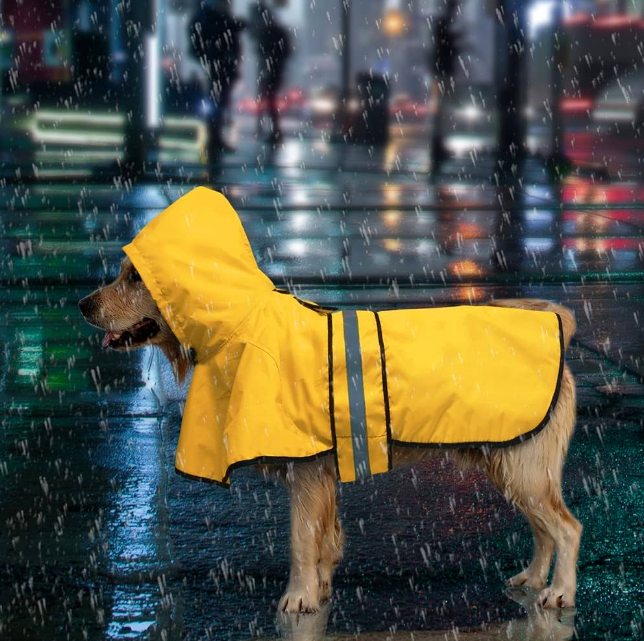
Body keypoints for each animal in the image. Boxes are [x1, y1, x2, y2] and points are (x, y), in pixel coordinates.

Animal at [79, 258, 580, 612]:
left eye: (134, 277)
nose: (83, 305)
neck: (245, 323)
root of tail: (557, 318)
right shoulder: (321, 476)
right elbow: (325, 537)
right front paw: (319, 588)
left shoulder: (306, 473)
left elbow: (301, 540)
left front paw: (298, 597)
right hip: (513, 466)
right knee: (544, 530)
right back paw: (533, 578)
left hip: (523, 468)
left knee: (567, 529)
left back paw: (559, 592)